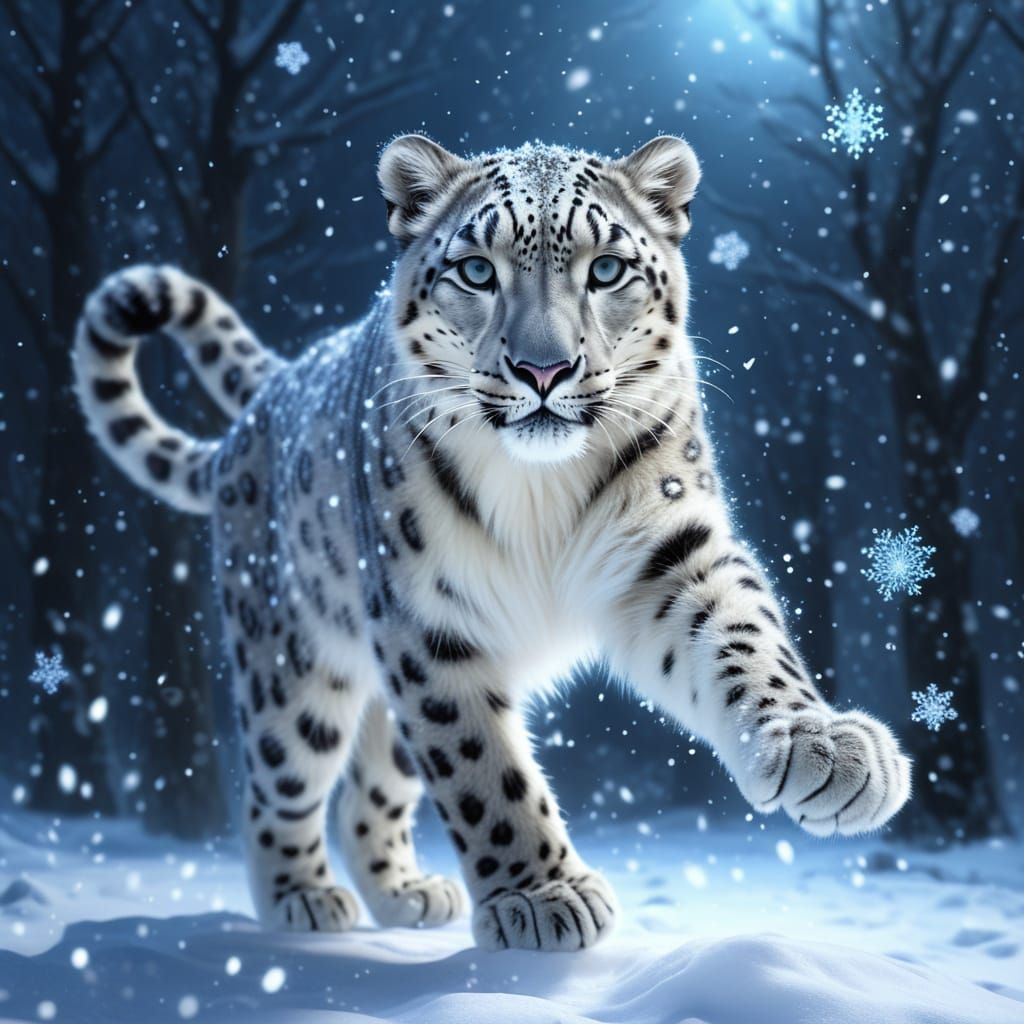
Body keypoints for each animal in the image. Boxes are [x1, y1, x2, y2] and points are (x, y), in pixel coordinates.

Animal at [73, 133, 912, 951]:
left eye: (607, 269)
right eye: (477, 270)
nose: (544, 368)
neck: (540, 491)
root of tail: (277, 388)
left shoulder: (670, 551)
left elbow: (743, 638)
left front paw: (823, 748)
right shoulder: (428, 618)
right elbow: (481, 762)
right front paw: (543, 896)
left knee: (368, 785)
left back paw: (406, 894)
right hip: (291, 659)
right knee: (283, 777)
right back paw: (301, 898)